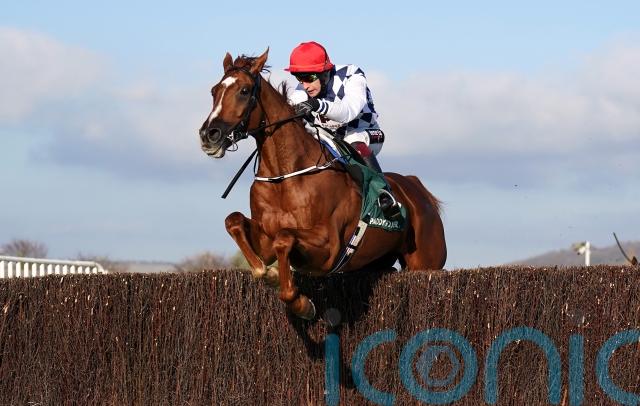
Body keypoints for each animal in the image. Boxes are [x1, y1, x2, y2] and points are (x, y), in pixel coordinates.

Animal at [199, 49, 446, 319]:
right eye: (213, 91)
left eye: (244, 91)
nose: (209, 135)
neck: (284, 176)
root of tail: (416, 187)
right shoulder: (265, 241)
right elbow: (234, 222)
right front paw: (269, 274)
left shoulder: (329, 247)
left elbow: (284, 238)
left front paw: (300, 303)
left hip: (427, 262)